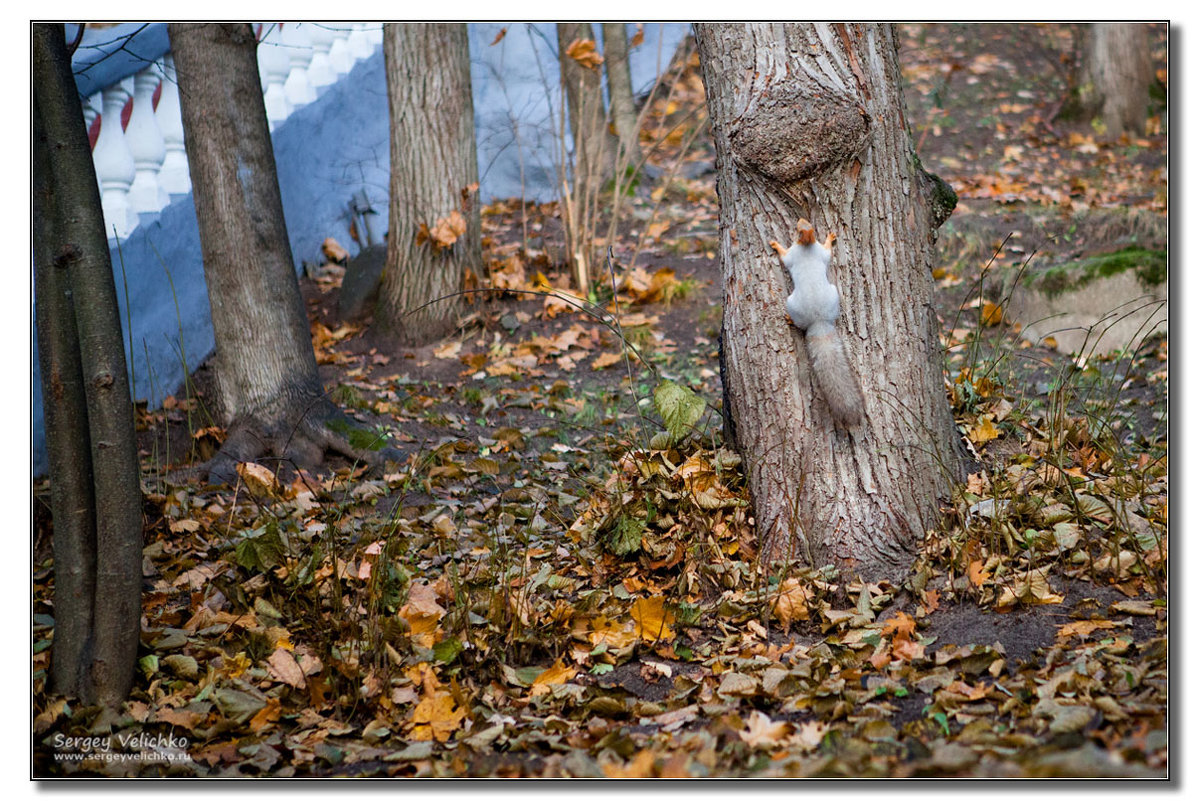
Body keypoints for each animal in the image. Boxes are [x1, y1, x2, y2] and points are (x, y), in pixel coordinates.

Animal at [772, 219, 868, 424]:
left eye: (798, 229)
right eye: (804, 225)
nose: (801, 219)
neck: (807, 245)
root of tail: (819, 322)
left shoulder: (793, 253)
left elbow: (785, 256)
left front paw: (775, 245)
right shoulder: (819, 252)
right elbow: (827, 253)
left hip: (791, 303)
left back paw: (790, 319)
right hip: (833, 294)